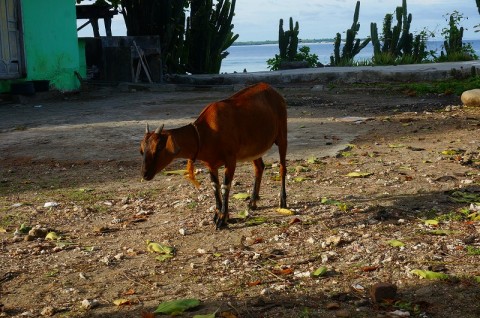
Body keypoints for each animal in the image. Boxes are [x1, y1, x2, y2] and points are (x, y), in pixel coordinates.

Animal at [141, 81, 286, 226]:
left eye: (159, 147)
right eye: (142, 150)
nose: (145, 174)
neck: (204, 133)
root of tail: (269, 87)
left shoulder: (231, 159)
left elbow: (225, 186)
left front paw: (222, 219)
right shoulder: (210, 164)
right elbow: (215, 187)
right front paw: (217, 215)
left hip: (282, 134)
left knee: (282, 168)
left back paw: (283, 202)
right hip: (254, 149)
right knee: (259, 167)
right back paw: (252, 202)